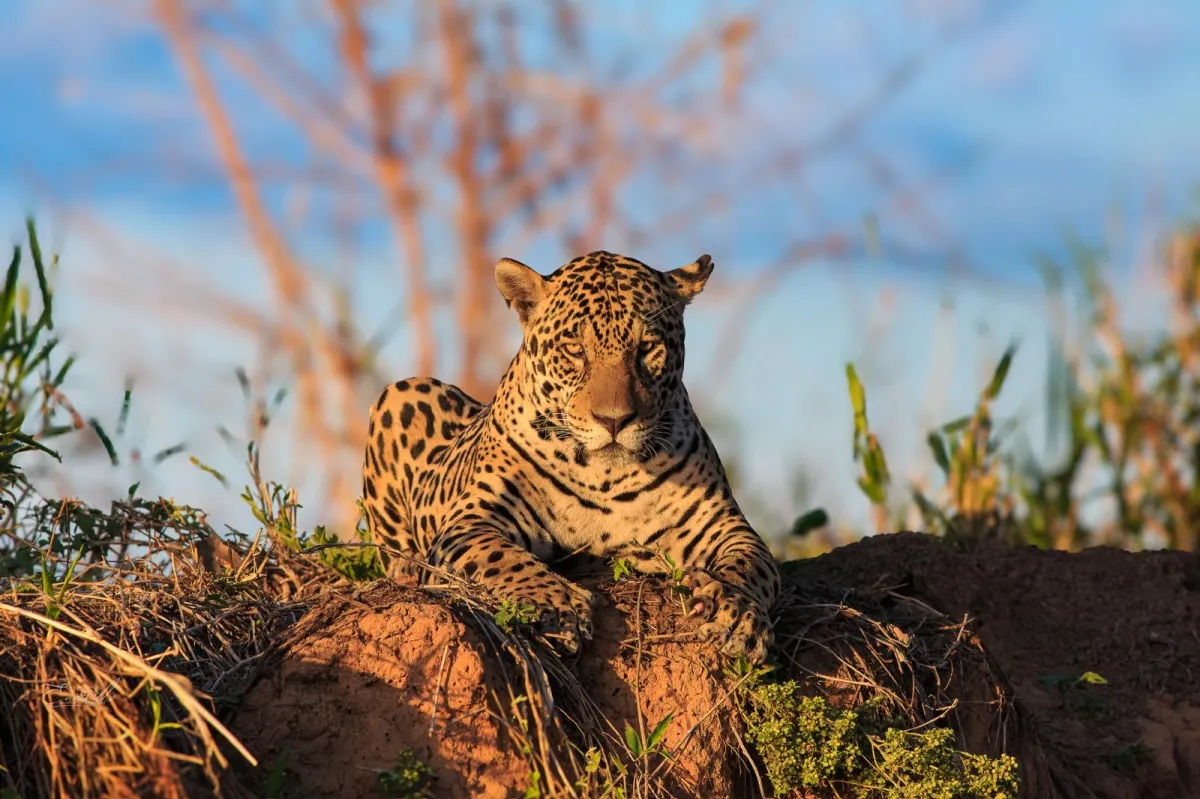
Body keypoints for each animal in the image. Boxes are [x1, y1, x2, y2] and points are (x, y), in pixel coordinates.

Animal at [361, 250, 780, 662]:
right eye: (575, 350)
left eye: (646, 348)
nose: (615, 420)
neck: (606, 476)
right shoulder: (469, 523)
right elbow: (501, 558)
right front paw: (557, 605)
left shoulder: (722, 524)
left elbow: (753, 565)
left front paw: (734, 611)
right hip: (401, 394)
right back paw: (405, 569)